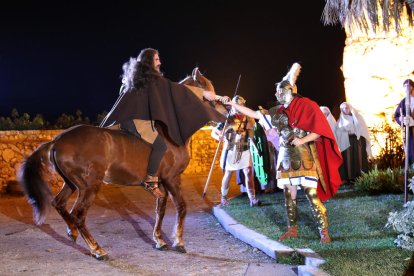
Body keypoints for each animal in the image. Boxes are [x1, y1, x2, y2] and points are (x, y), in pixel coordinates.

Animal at [18, 67, 222, 260]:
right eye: (209, 92)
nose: (223, 120)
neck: (171, 134)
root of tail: (57, 140)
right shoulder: (171, 178)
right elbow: (181, 207)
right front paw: (178, 242)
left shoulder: (161, 182)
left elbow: (161, 207)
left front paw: (159, 240)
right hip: (89, 186)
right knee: (78, 215)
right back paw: (97, 250)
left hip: (71, 183)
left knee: (58, 203)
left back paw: (73, 232)